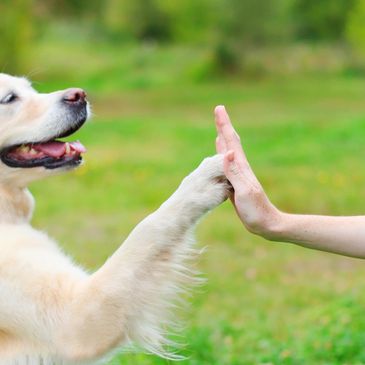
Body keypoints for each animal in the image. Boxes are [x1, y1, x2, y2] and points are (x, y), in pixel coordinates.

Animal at [0, 72, 229, 362]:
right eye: (9, 98)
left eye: (31, 88)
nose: (80, 95)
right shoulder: (75, 319)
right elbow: (148, 228)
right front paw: (202, 180)